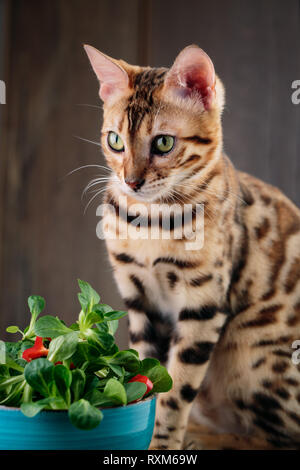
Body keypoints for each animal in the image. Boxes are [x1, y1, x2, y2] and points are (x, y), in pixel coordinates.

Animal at [84, 45, 300, 452]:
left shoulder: (203, 303)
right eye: (115, 140)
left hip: (252, 350)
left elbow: (177, 388)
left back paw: (204, 440)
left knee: (277, 438)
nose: (130, 181)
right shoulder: (139, 299)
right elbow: (149, 376)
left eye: (164, 143)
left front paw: (163, 443)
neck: (151, 221)